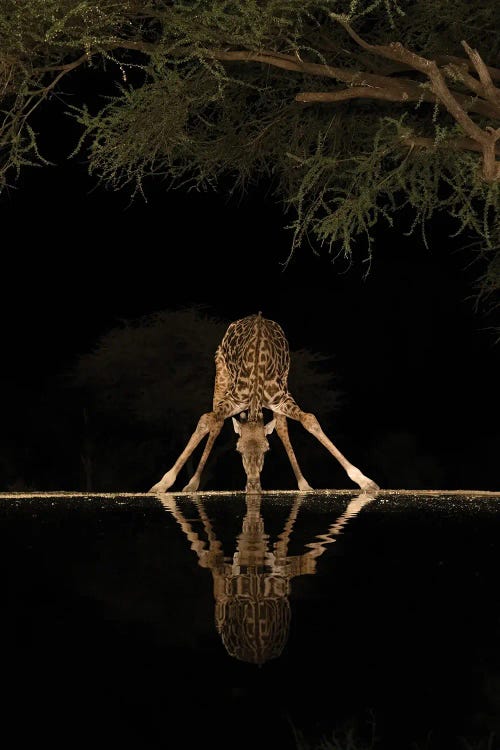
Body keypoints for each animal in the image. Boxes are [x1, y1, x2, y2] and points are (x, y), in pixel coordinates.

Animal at [148, 310, 378, 494]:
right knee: (216, 423)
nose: (253, 487)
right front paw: (161, 484)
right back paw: (192, 484)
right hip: (221, 374)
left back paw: (303, 484)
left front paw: (365, 481)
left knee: (282, 428)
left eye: (267, 450)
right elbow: (206, 420)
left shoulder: (281, 398)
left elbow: (309, 420)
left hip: (284, 382)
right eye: (238, 450)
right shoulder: (234, 398)